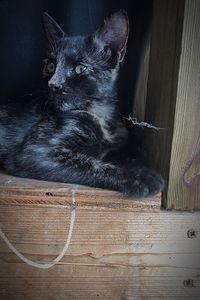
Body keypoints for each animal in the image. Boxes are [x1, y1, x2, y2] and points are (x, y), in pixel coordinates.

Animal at [0, 10, 163, 197]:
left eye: (80, 68)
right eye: (50, 66)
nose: (53, 84)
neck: (101, 116)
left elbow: (123, 156)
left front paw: (141, 168)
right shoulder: (35, 153)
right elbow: (91, 164)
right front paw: (139, 177)